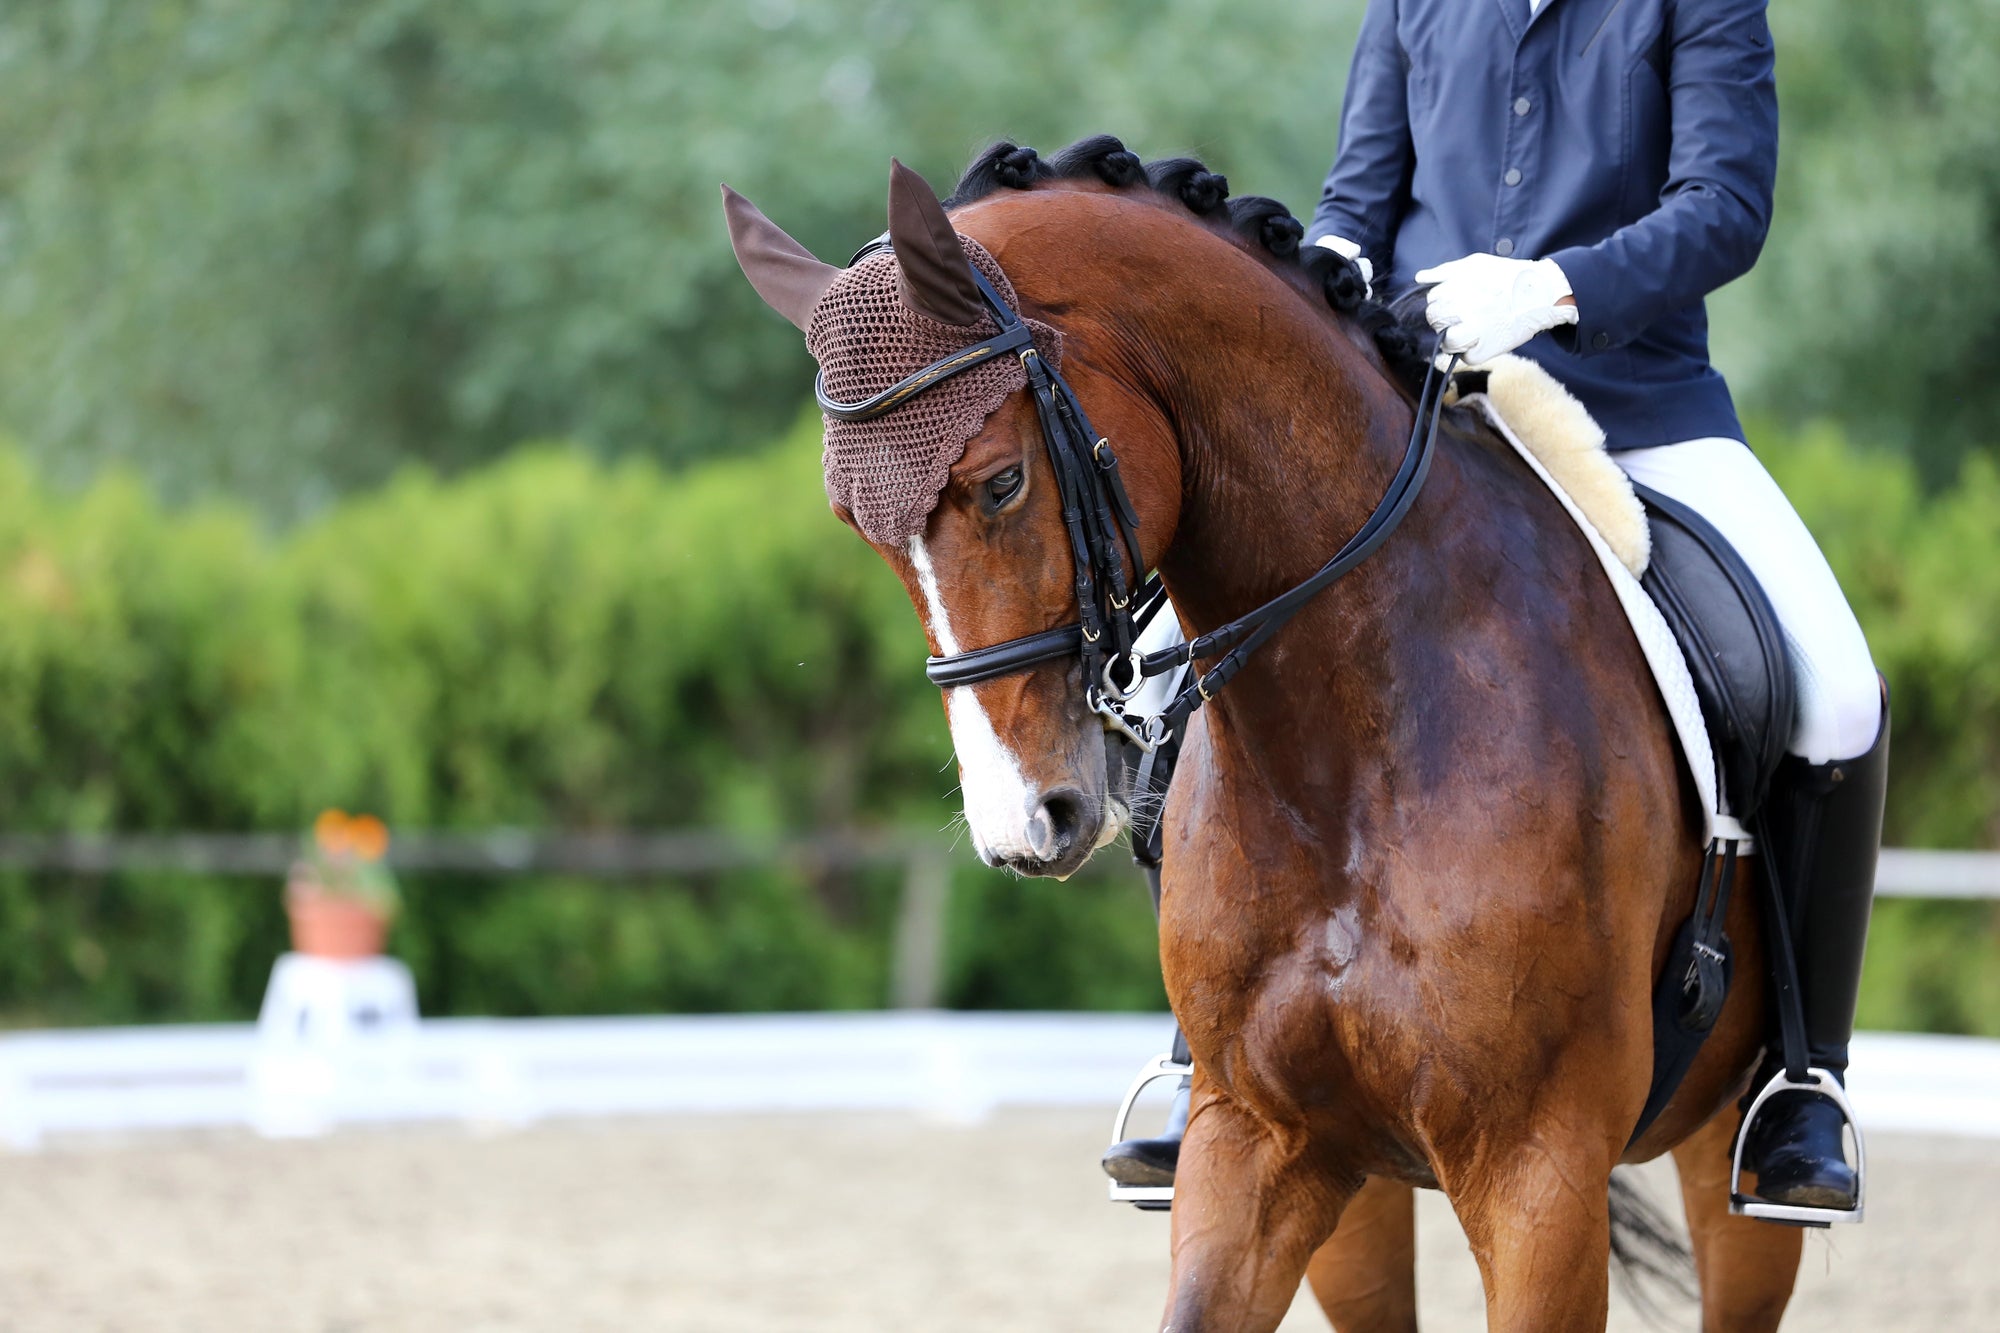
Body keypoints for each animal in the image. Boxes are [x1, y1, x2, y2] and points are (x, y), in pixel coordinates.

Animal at [724, 136, 1807, 1332]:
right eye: (857, 527)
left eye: (999, 481)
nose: (1023, 824)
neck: (1350, 755)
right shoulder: (1261, 1138)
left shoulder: (1541, 1175)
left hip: (1723, 1153)